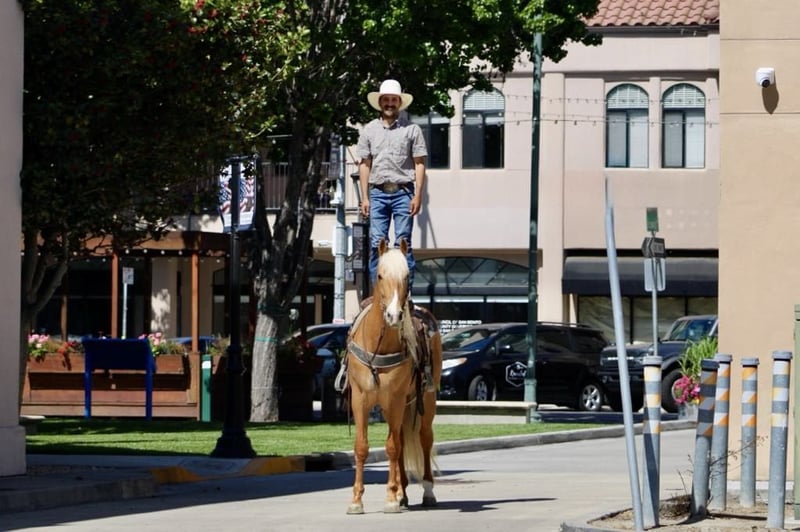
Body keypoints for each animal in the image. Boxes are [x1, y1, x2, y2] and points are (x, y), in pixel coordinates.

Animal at [343, 237, 443, 514]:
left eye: (407, 277)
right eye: (379, 275)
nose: (394, 315)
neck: (379, 345)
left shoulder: (396, 398)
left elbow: (391, 447)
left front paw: (390, 498)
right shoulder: (360, 399)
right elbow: (362, 447)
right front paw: (356, 501)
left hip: (425, 399)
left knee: (423, 438)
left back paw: (426, 491)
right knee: (401, 440)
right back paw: (403, 493)